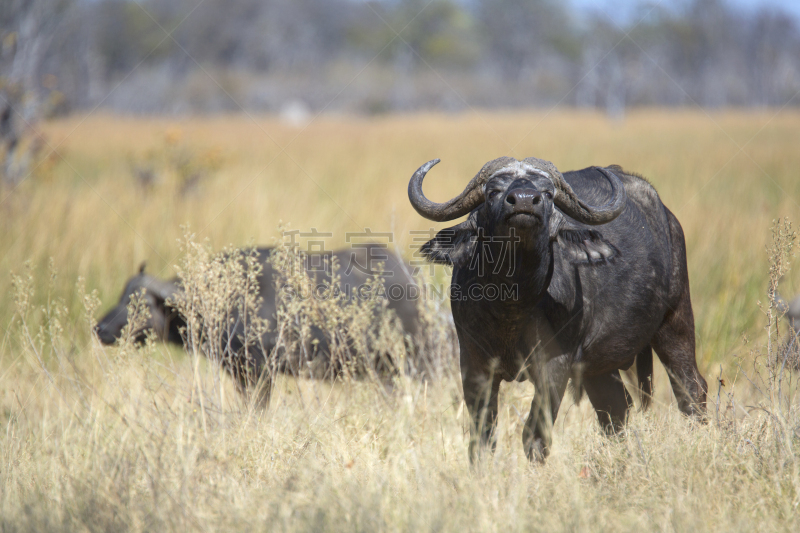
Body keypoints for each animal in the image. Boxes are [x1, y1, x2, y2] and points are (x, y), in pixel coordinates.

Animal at [412, 156, 708, 460]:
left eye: (547, 194)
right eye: (493, 191)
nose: (524, 201)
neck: (511, 306)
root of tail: (668, 219)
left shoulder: (555, 366)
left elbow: (534, 436)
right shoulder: (474, 364)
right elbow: (482, 437)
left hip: (675, 322)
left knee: (691, 389)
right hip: (598, 367)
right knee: (616, 408)